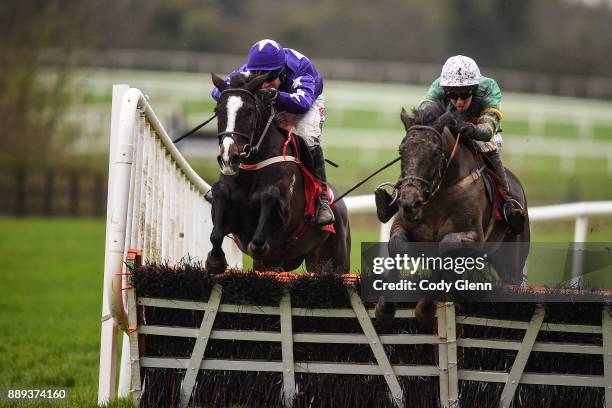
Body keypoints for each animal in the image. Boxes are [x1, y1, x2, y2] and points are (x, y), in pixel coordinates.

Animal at [204, 72, 350, 274]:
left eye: (249, 111)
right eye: (217, 111)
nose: (228, 157)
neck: (252, 170)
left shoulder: (283, 224)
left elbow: (269, 198)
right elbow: (219, 209)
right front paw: (215, 260)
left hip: (334, 260)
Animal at [376, 103, 528, 324]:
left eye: (435, 153)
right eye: (401, 150)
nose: (410, 203)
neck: (442, 190)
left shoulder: (474, 237)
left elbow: (445, 247)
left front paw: (426, 307)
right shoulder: (402, 225)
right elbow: (398, 245)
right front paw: (385, 307)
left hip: (512, 258)